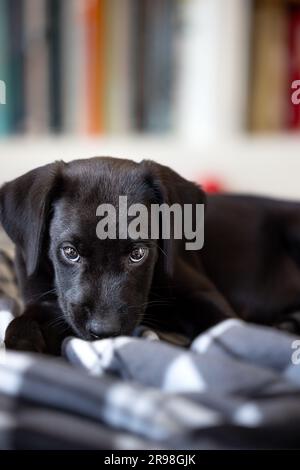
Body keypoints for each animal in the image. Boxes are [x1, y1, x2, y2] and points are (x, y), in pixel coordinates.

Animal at [0, 156, 298, 354]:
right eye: (69, 252)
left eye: (138, 253)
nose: (104, 331)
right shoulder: (45, 303)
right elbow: (20, 325)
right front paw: (25, 343)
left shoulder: (201, 292)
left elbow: (225, 326)